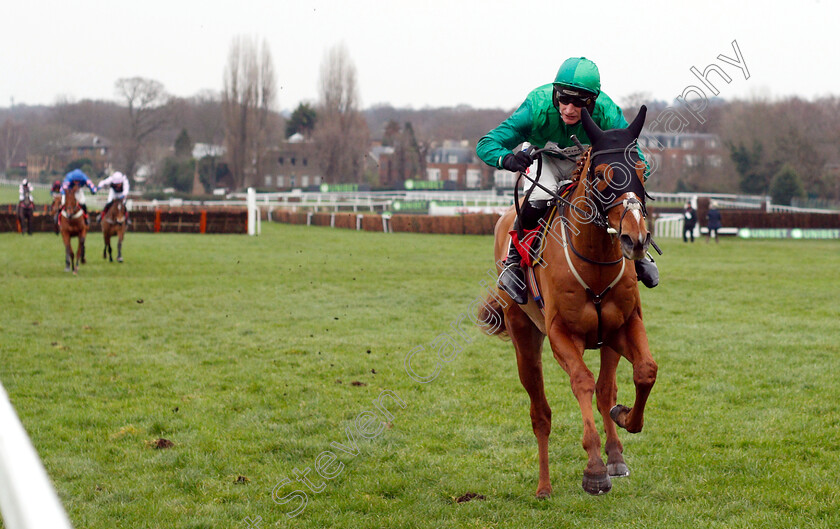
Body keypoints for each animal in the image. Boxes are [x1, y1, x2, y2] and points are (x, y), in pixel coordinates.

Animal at [480, 106, 656, 496]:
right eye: (603, 175)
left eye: (640, 170)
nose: (635, 238)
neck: (596, 265)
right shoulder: (561, 333)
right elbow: (582, 382)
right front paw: (594, 470)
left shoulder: (624, 324)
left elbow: (644, 372)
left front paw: (624, 421)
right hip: (524, 336)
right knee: (540, 413)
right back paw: (544, 487)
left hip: (606, 341)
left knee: (606, 390)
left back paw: (615, 455)